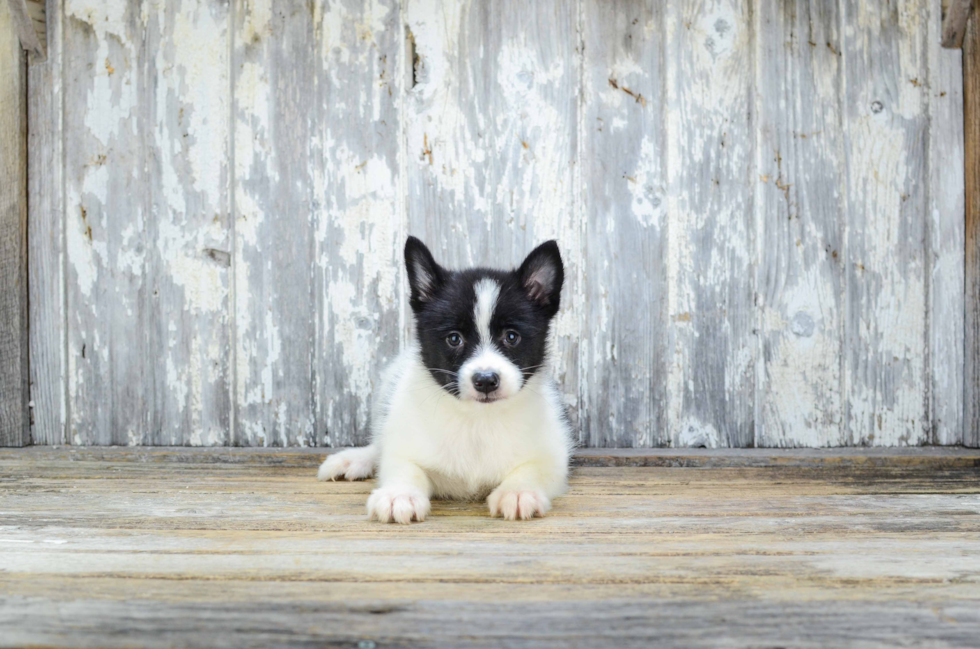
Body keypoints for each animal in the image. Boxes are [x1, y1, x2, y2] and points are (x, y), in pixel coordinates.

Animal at [318, 235, 572, 524]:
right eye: (454, 338)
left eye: (511, 336)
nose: (486, 380)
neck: (477, 420)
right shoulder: (404, 444)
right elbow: (404, 467)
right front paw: (399, 494)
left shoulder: (553, 455)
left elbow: (532, 470)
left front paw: (518, 492)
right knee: (379, 445)